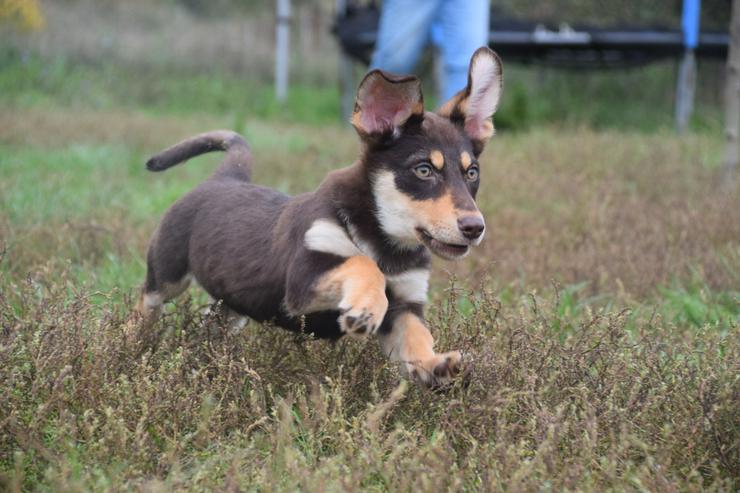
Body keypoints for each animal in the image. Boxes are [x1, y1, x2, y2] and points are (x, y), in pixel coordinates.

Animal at [136, 47, 502, 384]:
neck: (385, 239)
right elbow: (362, 264)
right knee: (146, 303)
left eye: (472, 173)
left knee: (211, 325)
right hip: (167, 274)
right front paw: (366, 308)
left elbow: (418, 339)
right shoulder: (303, 280)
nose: (475, 228)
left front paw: (437, 365)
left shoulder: (405, 307)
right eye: (424, 170)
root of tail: (225, 178)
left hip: (234, 303)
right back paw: (134, 345)